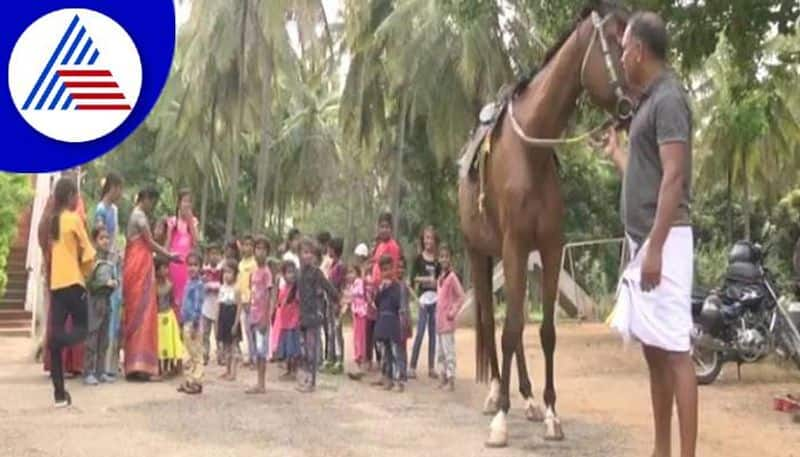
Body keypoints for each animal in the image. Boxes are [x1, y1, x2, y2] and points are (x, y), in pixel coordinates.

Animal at [456, 0, 632, 448]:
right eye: (616, 44)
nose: (634, 103)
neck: (529, 154)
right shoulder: (514, 246)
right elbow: (507, 329)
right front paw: (501, 421)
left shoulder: (550, 249)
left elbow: (545, 331)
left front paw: (552, 413)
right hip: (480, 252)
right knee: (490, 320)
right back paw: (495, 395)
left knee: (516, 326)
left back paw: (529, 399)